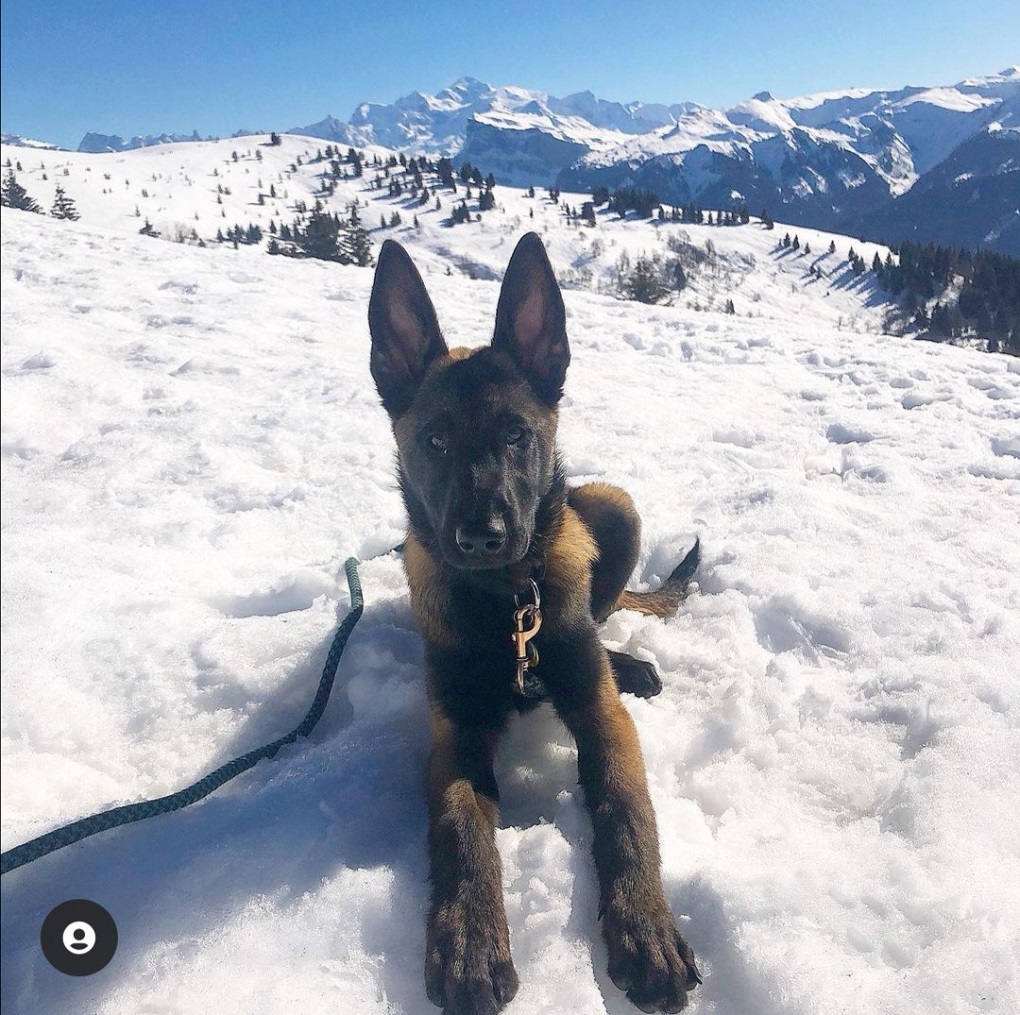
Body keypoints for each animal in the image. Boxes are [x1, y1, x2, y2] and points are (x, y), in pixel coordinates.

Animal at [371, 234, 705, 1011]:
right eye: (434, 442)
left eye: (517, 435)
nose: (482, 536)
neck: (506, 604)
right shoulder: (456, 734)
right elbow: (462, 831)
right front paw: (470, 940)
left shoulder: (600, 714)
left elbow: (625, 809)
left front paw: (645, 926)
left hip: (615, 504)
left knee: (604, 614)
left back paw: (629, 662)